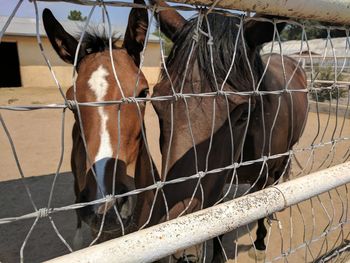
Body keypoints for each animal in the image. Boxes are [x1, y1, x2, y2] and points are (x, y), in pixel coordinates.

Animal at [138, 1, 308, 262]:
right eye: (157, 105)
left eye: (244, 114)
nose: (180, 251)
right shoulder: (217, 182)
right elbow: (220, 224)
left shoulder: (264, 176)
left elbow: (261, 206)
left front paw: (260, 242)